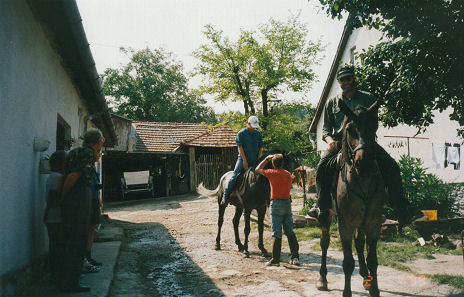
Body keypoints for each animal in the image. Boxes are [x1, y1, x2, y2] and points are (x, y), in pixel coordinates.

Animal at [318, 100, 386, 296]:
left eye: (374, 126)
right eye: (349, 130)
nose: (364, 163)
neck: (362, 180)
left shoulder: (373, 223)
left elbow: (373, 260)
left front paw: (374, 289)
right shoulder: (345, 224)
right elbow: (347, 263)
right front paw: (346, 292)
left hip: (361, 221)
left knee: (359, 242)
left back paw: (365, 277)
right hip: (327, 215)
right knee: (324, 242)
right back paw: (323, 278)